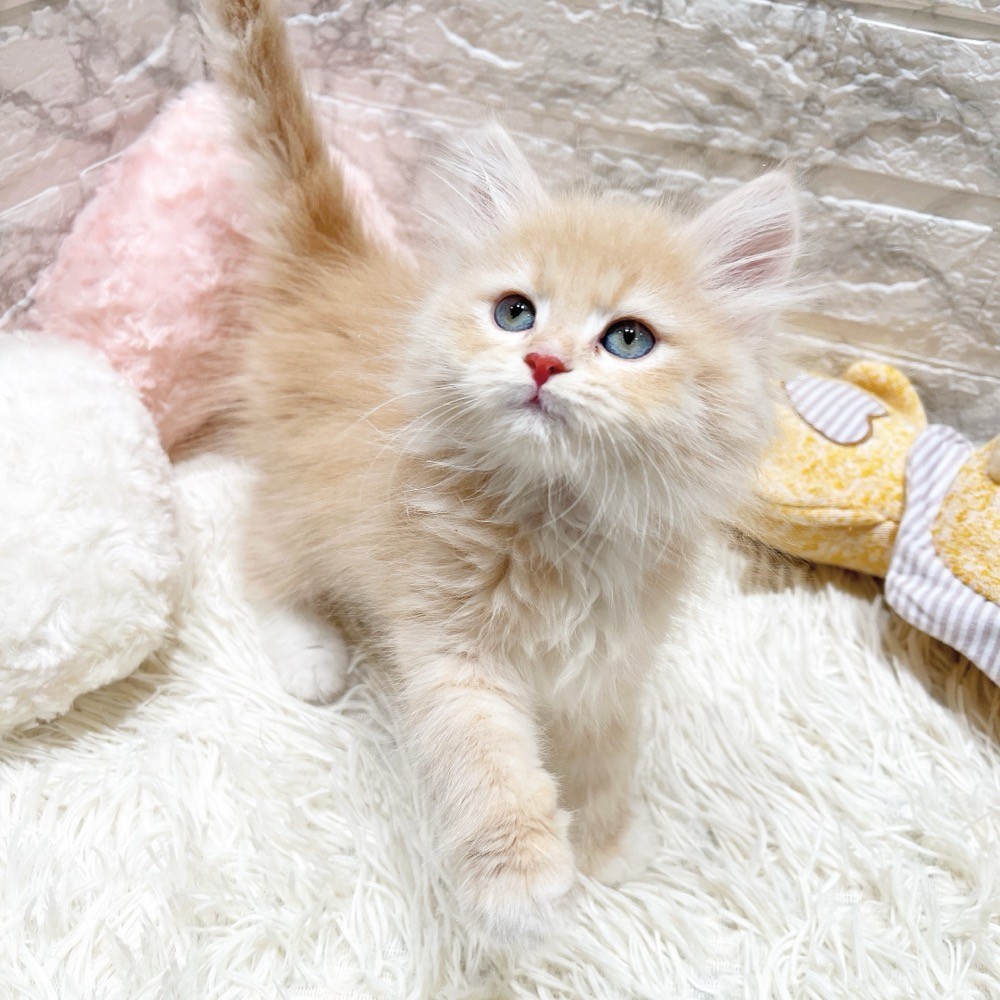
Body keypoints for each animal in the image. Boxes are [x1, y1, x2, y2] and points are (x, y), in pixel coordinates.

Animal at [202, 0, 799, 945]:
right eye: (515, 313)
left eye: (629, 338)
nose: (544, 363)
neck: (564, 523)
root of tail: (337, 266)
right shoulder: (451, 647)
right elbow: (485, 763)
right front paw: (522, 885)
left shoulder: (613, 661)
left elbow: (605, 756)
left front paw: (607, 842)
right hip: (303, 501)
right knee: (259, 558)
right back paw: (310, 654)